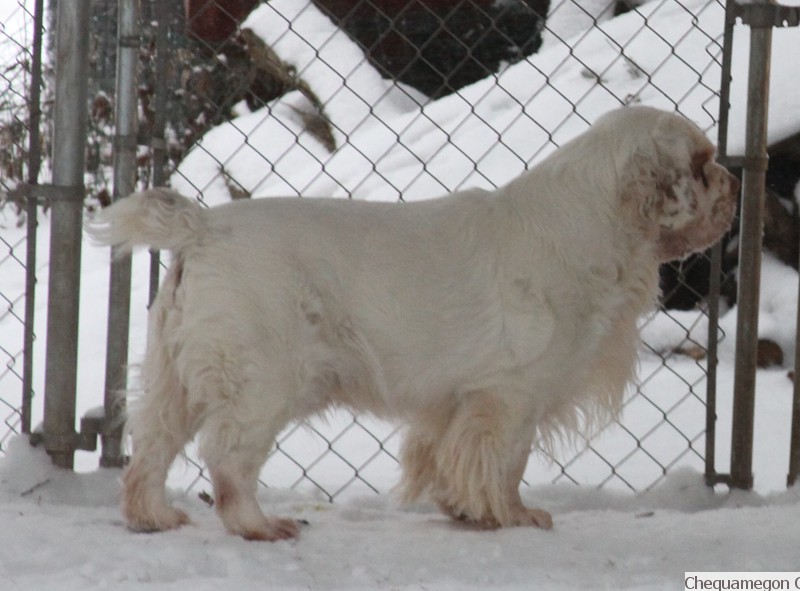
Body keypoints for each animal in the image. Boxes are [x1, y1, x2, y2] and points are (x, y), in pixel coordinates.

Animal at [92, 105, 736, 540]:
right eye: (702, 165)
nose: (734, 178)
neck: (595, 221)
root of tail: (204, 228)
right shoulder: (511, 395)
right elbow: (507, 462)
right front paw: (513, 515)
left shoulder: (458, 403)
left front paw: (466, 510)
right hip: (262, 382)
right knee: (228, 458)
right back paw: (260, 526)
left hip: (175, 377)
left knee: (150, 448)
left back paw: (153, 518)